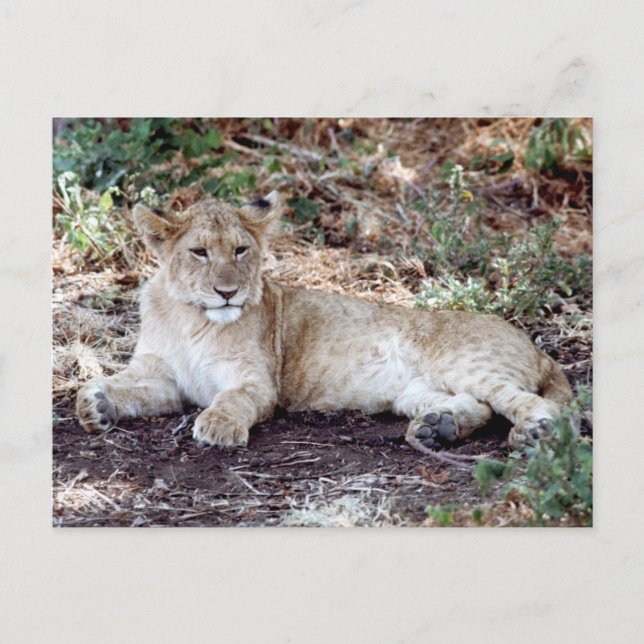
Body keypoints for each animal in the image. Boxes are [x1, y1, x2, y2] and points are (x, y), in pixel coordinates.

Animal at [76, 192, 572, 452]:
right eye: (199, 252)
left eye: (240, 250)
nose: (227, 292)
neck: (190, 318)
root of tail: (536, 346)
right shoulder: (164, 379)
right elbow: (122, 386)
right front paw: (94, 405)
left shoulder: (258, 382)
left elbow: (232, 399)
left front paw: (218, 427)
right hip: (415, 391)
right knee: (480, 406)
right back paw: (438, 427)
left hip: (466, 362)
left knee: (536, 404)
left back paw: (533, 433)